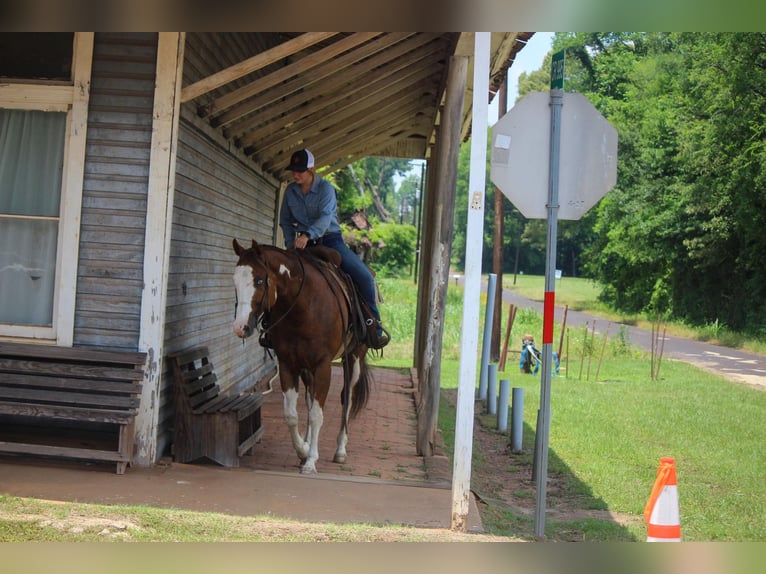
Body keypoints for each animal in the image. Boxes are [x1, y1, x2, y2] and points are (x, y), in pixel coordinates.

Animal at [232, 240, 374, 476]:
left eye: (259, 280)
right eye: (234, 280)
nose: (240, 327)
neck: (304, 307)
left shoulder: (323, 366)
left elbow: (318, 414)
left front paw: (311, 461)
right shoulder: (288, 364)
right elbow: (292, 414)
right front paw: (303, 450)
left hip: (353, 358)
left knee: (347, 398)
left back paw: (340, 449)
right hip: (307, 369)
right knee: (309, 399)